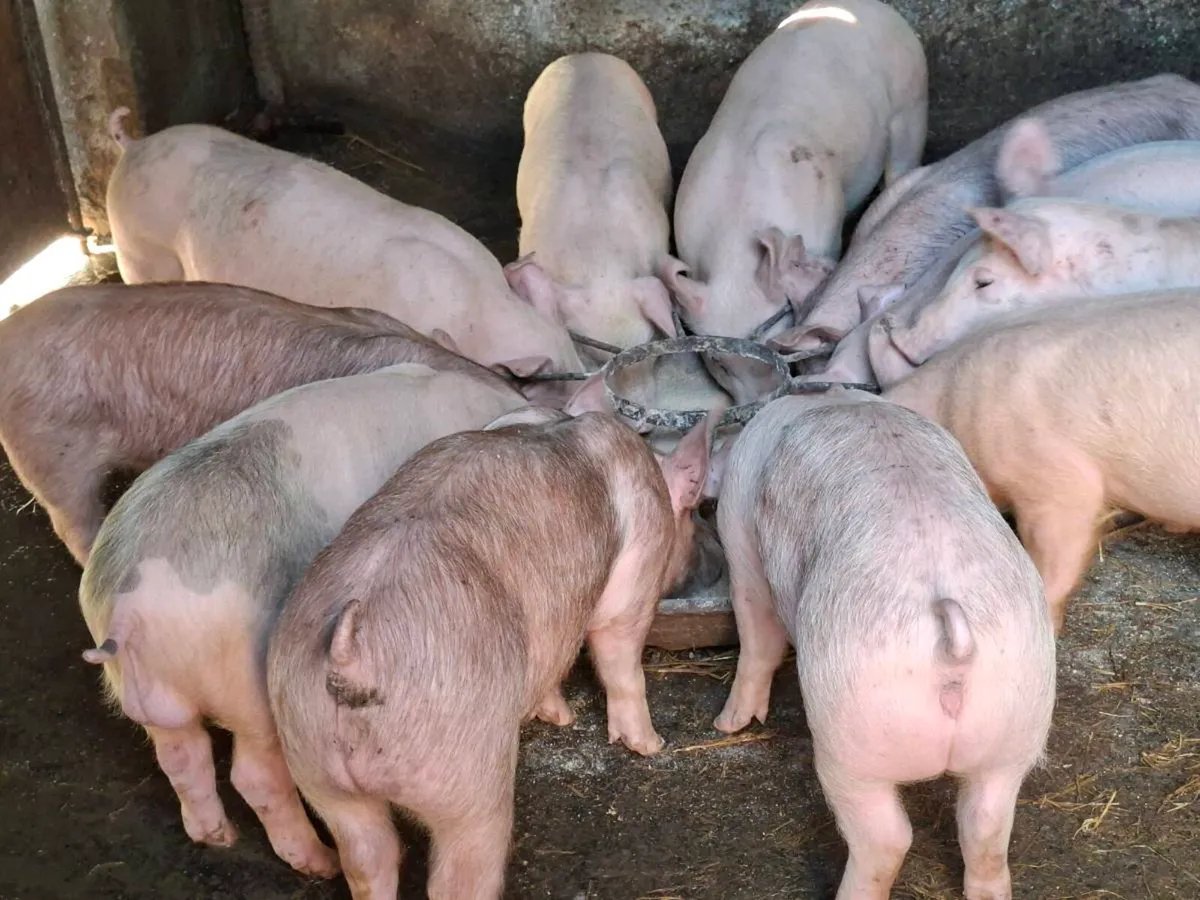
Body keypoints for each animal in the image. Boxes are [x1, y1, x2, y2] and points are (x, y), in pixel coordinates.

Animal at [77, 363, 527, 876]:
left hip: (152, 696)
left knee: (180, 757)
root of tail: (127, 609)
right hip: (248, 690)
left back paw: (219, 837)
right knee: (253, 775)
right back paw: (321, 861)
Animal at [267, 407, 718, 899]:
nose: (708, 563)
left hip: (313, 760)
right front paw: (650, 746)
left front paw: (559, 717)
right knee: (461, 870)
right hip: (467, 773)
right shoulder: (637, 568)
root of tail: (351, 654)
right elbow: (620, 656)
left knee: (368, 859)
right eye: (694, 516)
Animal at [660, 0, 927, 402]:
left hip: (912, 106)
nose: (757, 407)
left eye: (776, 350)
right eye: (721, 364)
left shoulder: (825, 231)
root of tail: (874, 8)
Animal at [713, 390, 1055, 900]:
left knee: (886, 839)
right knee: (986, 828)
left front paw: (728, 724)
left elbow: (756, 630)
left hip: (852, 736)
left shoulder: (739, 532)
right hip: (1016, 724)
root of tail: (953, 648)